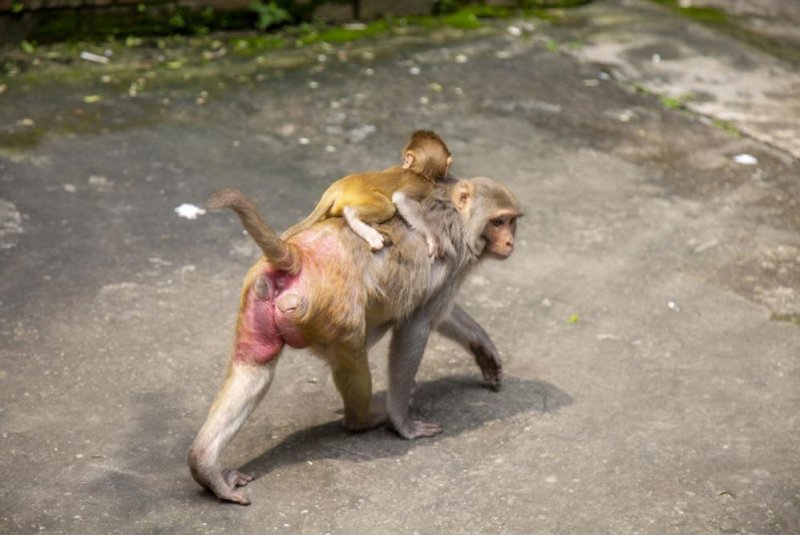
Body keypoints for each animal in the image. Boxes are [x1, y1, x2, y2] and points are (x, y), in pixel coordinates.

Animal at [282, 130, 454, 255]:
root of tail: (338, 185)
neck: (419, 172)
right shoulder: (422, 185)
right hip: (359, 195)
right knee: (387, 208)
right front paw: (431, 238)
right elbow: (401, 199)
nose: (404, 162)